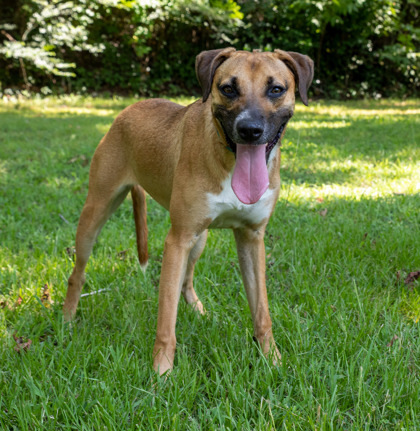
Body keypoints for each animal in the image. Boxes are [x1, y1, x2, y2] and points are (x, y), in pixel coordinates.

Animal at [64, 48, 314, 374]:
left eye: (276, 89)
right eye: (228, 88)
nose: (249, 130)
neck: (227, 159)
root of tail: (126, 111)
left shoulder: (251, 238)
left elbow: (262, 312)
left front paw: (272, 359)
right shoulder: (177, 240)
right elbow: (166, 318)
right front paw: (162, 371)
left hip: (200, 238)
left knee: (186, 280)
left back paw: (199, 311)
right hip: (96, 213)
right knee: (78, 273)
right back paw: (67, 319)